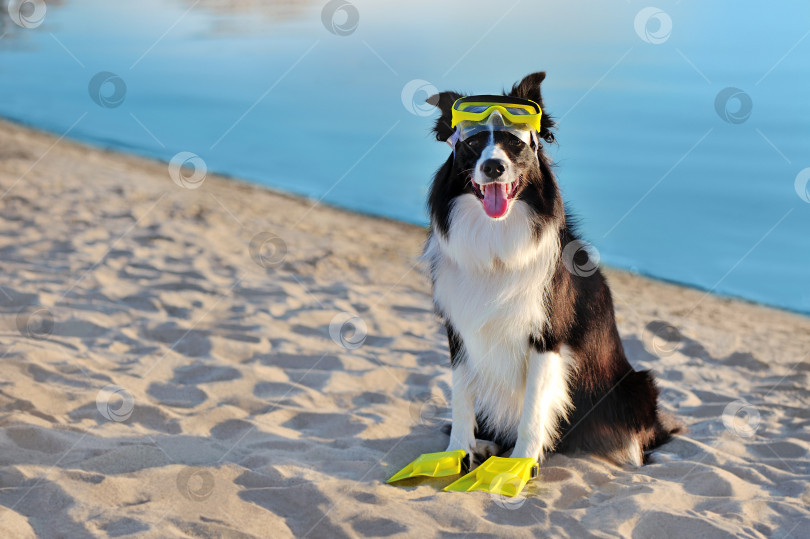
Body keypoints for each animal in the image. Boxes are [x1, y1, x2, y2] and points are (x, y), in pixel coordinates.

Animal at [422, 71, 676, 468]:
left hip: (637, 386)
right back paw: (486, 444)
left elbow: (533, 411)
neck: (496, 245)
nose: (493, 167)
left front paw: (520, 465)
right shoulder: (460, 331)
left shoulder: (546, 337)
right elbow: (462, 400)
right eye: (474, 141)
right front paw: (456, 454)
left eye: (514, 143)